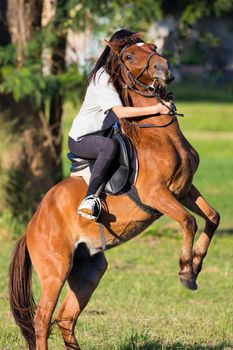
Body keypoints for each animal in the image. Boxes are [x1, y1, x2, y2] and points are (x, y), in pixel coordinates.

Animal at [9, 36, 220, 350]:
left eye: (154, 47)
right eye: (130, 55)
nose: (164, 68)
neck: (159, 135)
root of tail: (31, 226)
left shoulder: (184, 190)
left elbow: (212, 217)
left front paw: (196, 266)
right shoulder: (157, 195)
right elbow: (188, 221)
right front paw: (186, 272)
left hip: (88, 270)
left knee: (65, 318)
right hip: (55, 270)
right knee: (42, 320)